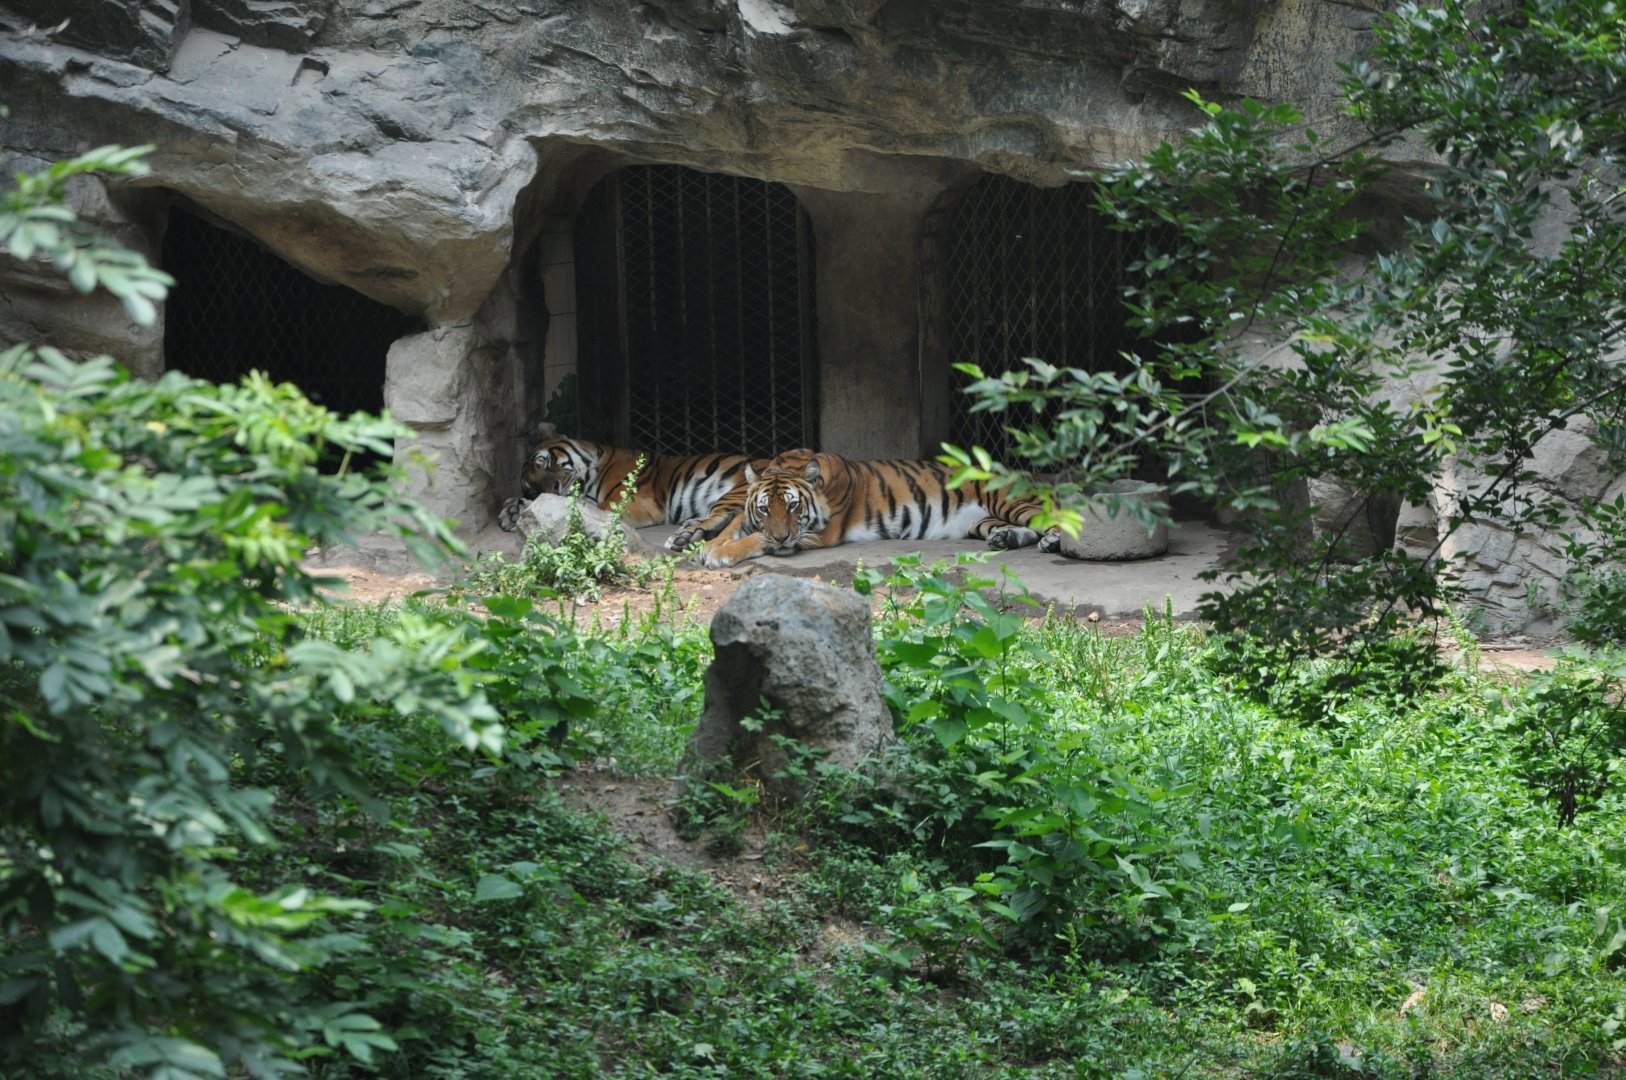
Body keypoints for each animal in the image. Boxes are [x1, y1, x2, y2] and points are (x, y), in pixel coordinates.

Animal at [496, 436, 759, 545]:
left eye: (548, 462)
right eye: (533, 488)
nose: (554, 487)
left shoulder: (632, 502)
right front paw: (512, 512)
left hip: (735, 491)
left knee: (724, 514)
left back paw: (686, 536)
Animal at [677, 449, 1064, 568]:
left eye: (792, 506)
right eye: (764, 509)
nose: (783, 536)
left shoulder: (818, 533)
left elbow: (756, 540)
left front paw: (719, 554)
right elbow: (735, 526)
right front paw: (706, 546)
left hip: (1009, 500)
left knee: (1054, 518)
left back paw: (1053, 542)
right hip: (981, 520)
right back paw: (1005, 539)